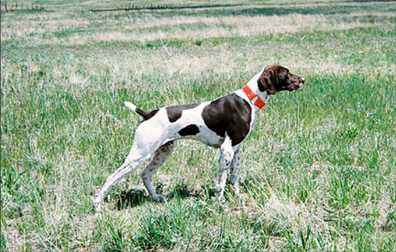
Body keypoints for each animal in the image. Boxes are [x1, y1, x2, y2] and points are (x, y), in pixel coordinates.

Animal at [94, 64, 304, 210]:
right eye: (286, 73)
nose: (302, 80)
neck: (249, 99)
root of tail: (148, 114)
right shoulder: (226, 150)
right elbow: (221, 182)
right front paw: (220, 204)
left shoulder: (236, 150)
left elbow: (234, 178)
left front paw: (238, 198)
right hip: (139, 154)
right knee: (112, 177)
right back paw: (97, 205)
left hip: (163, 151)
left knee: (145, 174)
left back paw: (157, 198)